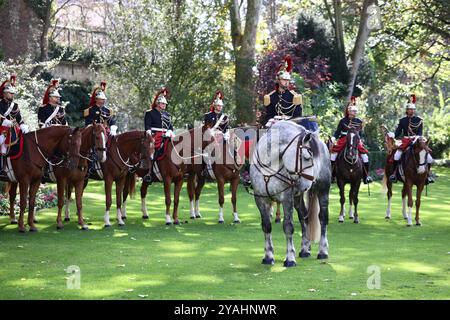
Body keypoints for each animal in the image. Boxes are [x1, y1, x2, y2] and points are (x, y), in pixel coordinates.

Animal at [250, 121, 330, 266]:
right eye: (306, 157)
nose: (308, 184)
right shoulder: (261, 199)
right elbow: (266, 226)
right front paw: (268, 256)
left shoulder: (287, 198)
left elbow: (288, 227)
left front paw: (290, 258)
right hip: (298, 197)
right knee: (304, 217)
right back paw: (305, 248)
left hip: (323, 189)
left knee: (323, 218)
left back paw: (322, 251)